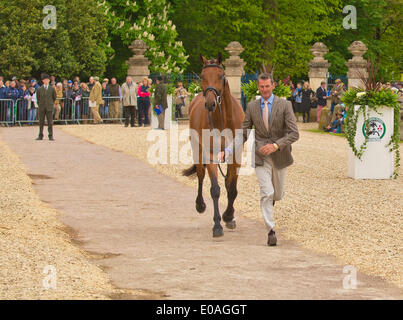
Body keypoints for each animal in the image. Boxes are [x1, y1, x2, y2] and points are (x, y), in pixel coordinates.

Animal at [184, 53, 246, 238]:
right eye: (202, 76)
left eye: (221, 76)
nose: (210, 104)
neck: (223, 119)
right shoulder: (211, 155)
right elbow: (215, 189)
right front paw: (217, 224)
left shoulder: (236, 156)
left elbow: (231, 188)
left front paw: (229, 216)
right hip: (197, 150)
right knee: (200, 175)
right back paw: (200, 204)